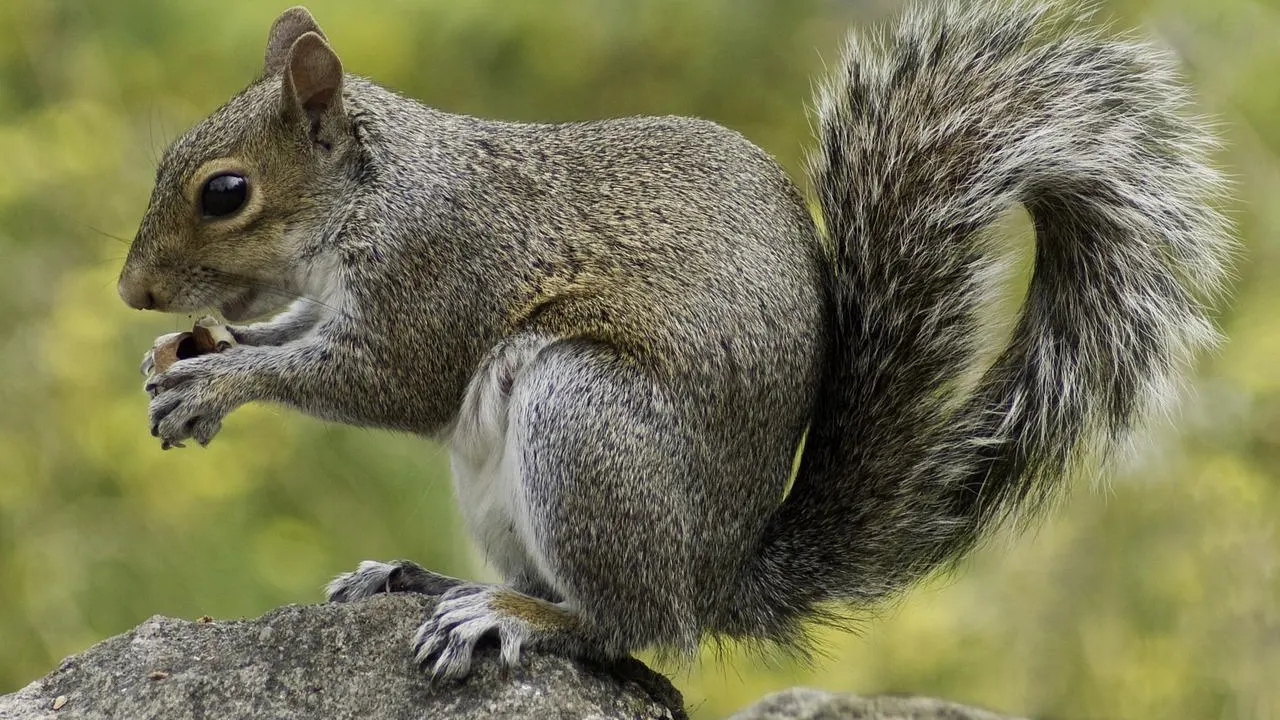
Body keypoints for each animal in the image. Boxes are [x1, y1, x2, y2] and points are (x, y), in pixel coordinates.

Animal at [118, 1, 1231, 682]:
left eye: (226, 192)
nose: (133, 291)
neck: (376, 190)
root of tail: (717, 575)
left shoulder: (441, 272)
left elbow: (386, 379)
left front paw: (217, 382)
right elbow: (300, 329)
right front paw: (188, 353)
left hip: (585, 420)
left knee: (631, 626)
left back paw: (510, 618)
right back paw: (425, 581)